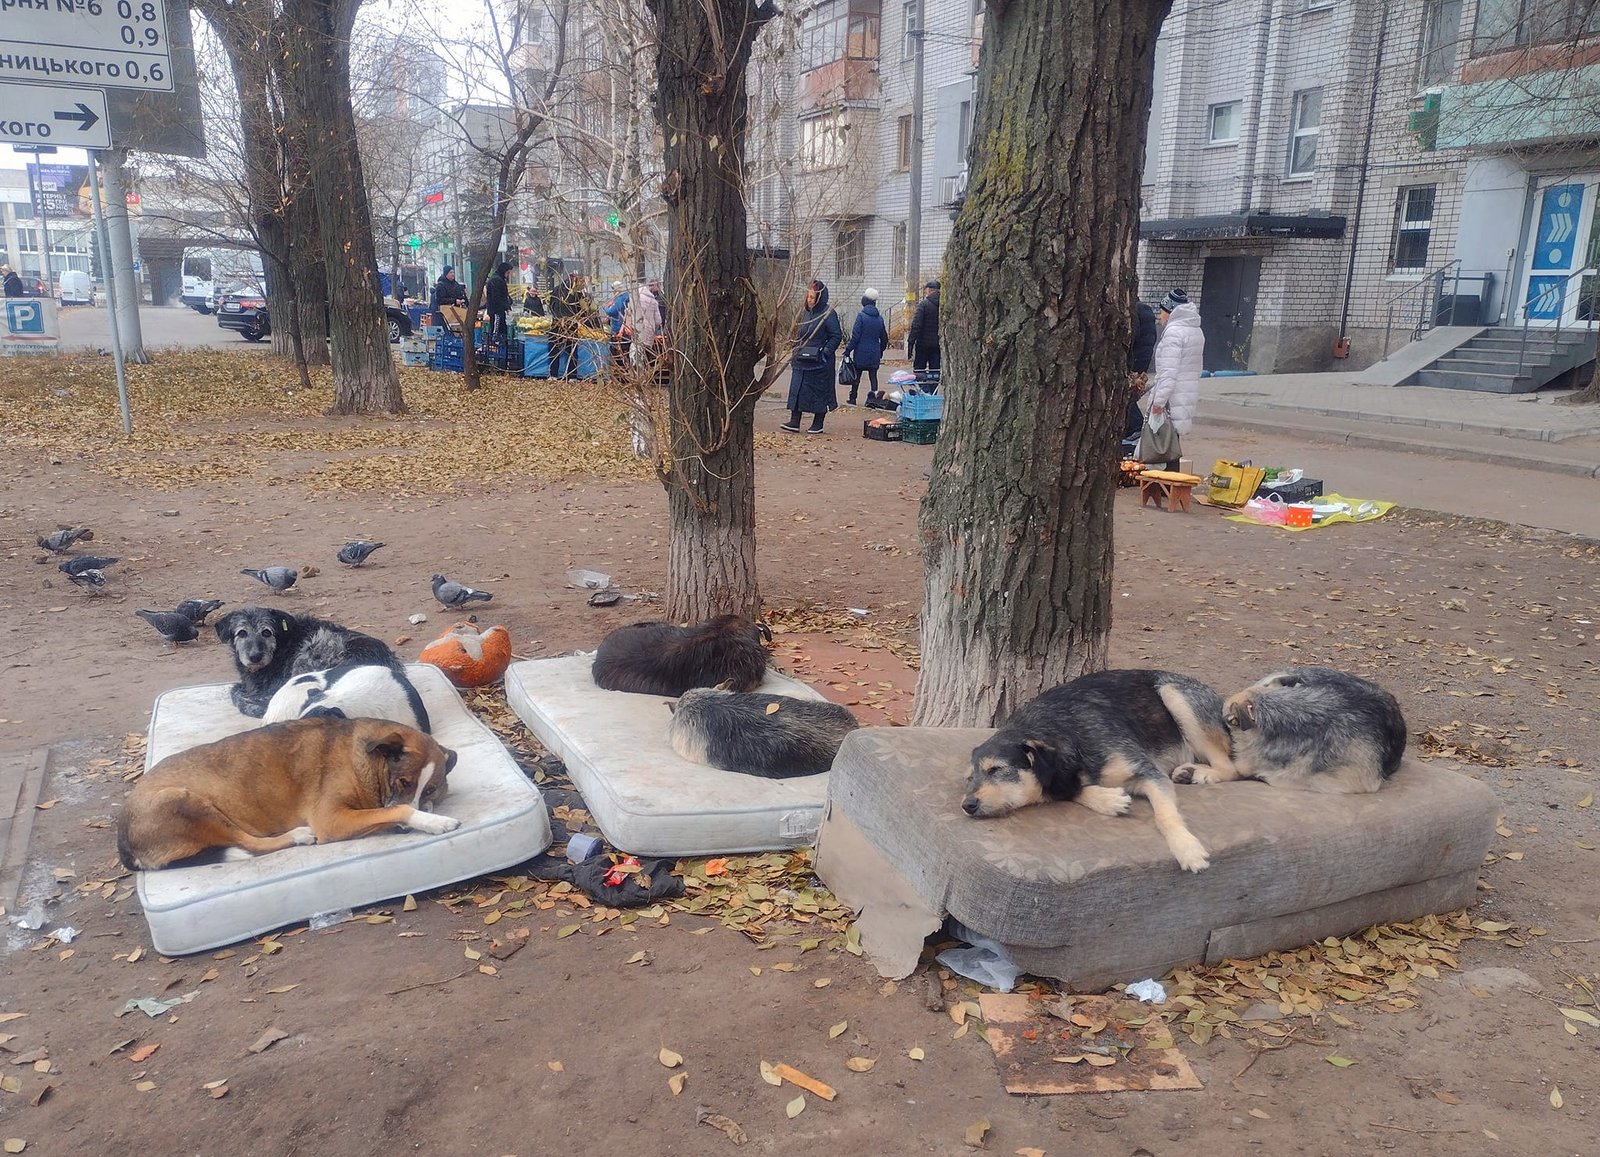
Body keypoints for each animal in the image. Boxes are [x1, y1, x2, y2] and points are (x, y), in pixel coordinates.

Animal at [116, 713, 457, 870]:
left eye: (431, 789)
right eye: (403, 782)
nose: (403, 831)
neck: (367, 762)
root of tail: (125, 842)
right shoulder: (330, 820)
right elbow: (399, 808)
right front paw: (433, 822)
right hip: (184, 799)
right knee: (249, 844)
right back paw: (298, 836)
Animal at [953, 668, 1228, 876]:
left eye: (996, 769)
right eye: (969, 778)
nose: (967, 805)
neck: (1067, 732)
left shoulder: (1149, 772)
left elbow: (1165, 816)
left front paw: (1187, 848)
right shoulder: (1064, 780)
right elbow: (1069, 789)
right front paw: (1109, 799)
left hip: (1174, 695)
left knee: (1230, 766)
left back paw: (1202, 774)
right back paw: (1188, 771)